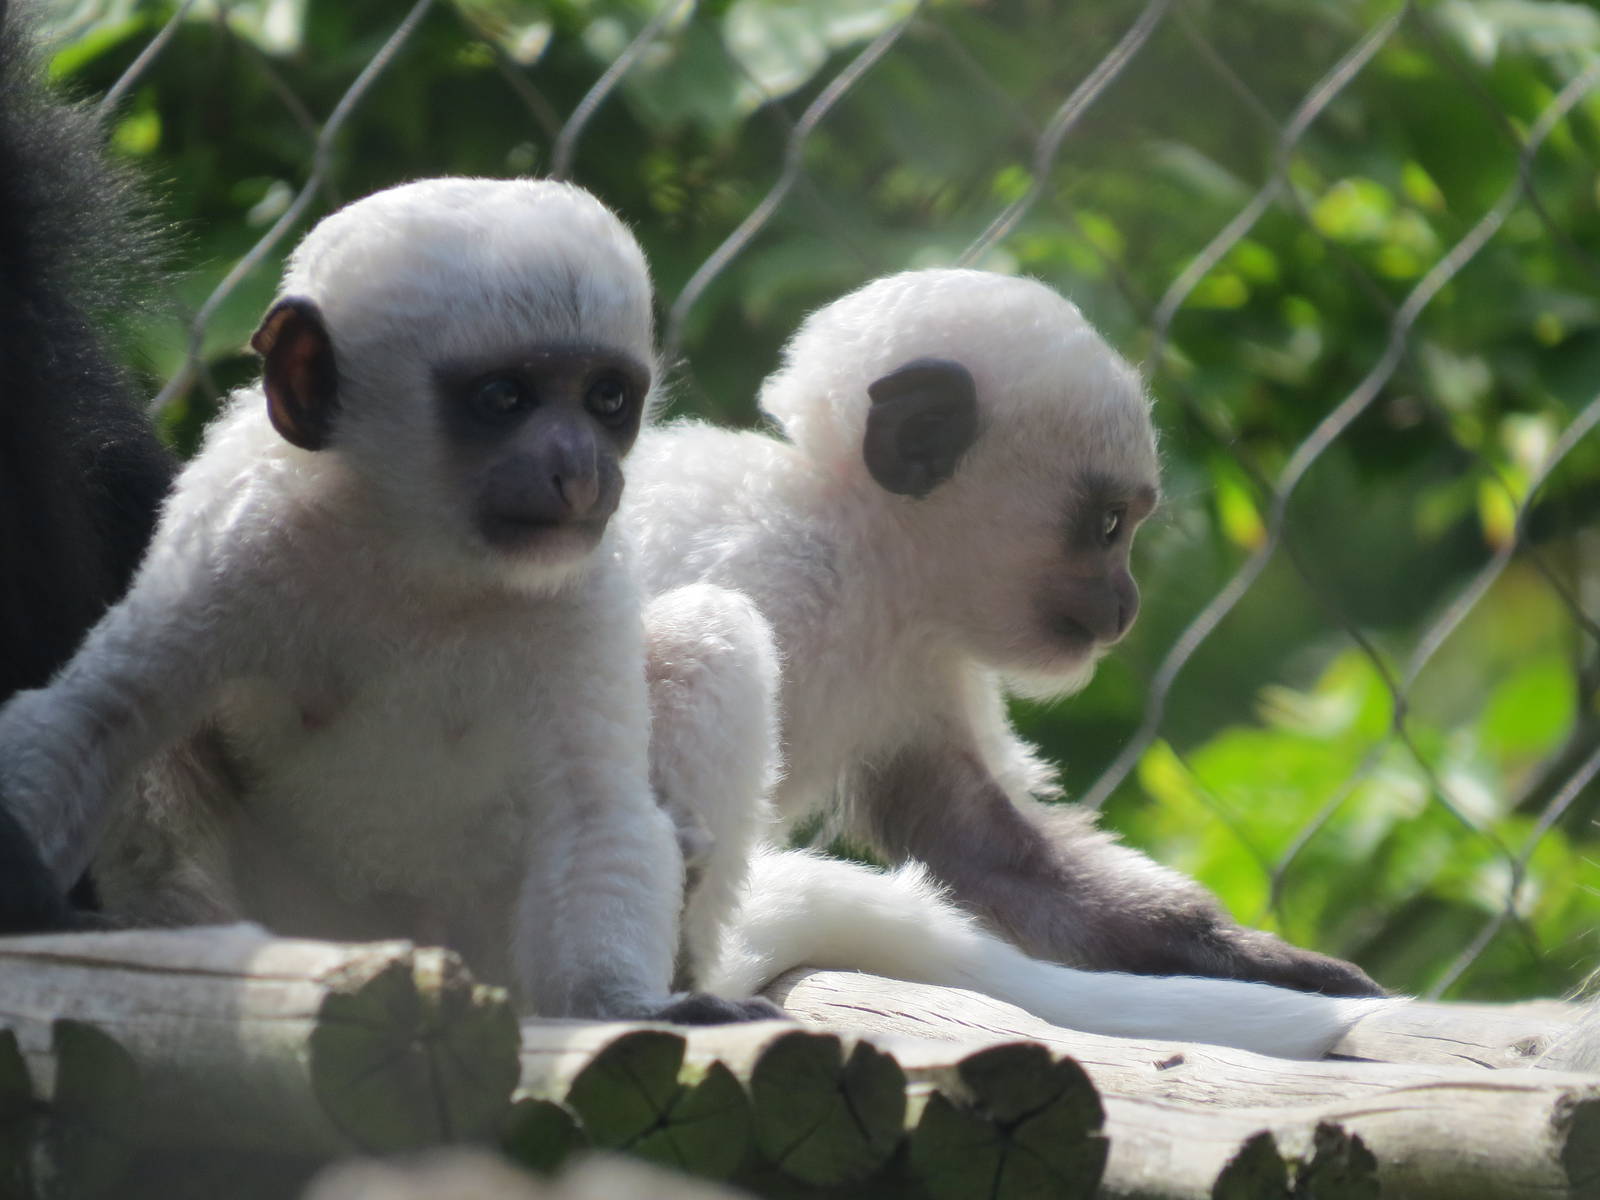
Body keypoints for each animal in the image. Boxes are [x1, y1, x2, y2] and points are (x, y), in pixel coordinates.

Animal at [0, 175, 776, 1024]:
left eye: (606, 400)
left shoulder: (579, 588)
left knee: (705, 635)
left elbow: (594, 807)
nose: (580, 473)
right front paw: (24, 895)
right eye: (504, 397)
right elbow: (95, 718)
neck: (420, 559)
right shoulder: (232, 543)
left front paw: (630, 1007)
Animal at [624, 268, 1389, 1054]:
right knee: (703, 640)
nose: (1128, 603)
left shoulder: (922, 668)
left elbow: (985, 850)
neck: (856, 549)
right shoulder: (768, 568)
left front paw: (1265, 961)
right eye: (1108, 526)